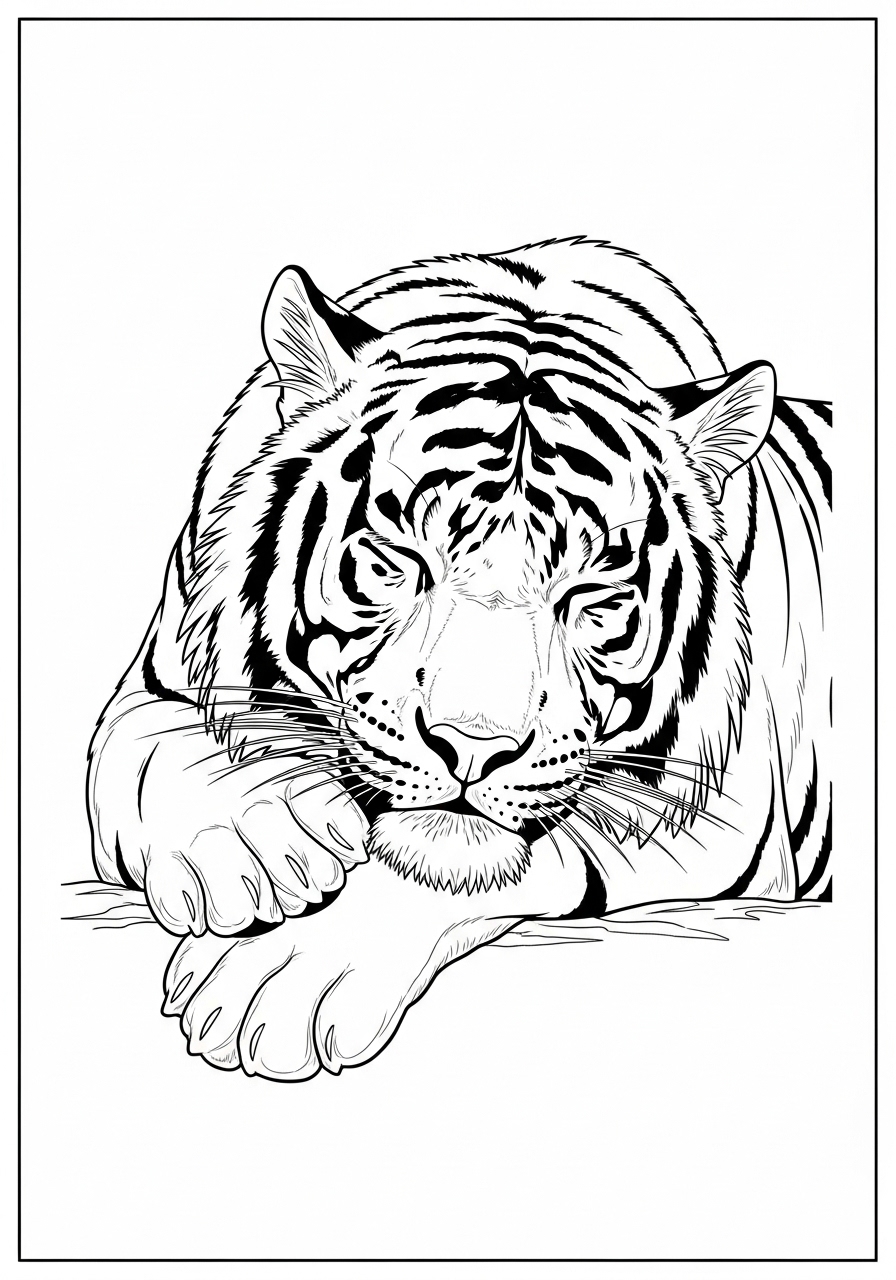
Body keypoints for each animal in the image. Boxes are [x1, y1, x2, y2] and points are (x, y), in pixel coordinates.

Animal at [87, 237, 831, 1081]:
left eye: (590, 593)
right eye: (400, 561)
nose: (473, 747)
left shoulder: (719, 805)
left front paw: (276, 975)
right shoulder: (154, 679)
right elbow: (138, 751)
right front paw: (256, 844)